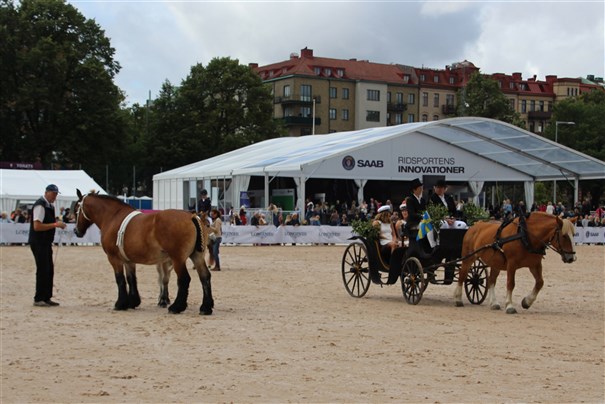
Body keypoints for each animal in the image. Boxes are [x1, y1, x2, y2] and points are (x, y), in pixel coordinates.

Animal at [74, 189, 214, 316]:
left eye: (76, 209)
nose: (76, 231)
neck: (113, 217)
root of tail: (191, 216)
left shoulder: (114, 259)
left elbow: (120, 279)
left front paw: (120, 304)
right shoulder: (128, 261)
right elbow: (131, 279)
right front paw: (132, 302)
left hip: (178, 260)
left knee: (184, 279)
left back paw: (176, 307)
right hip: (197, 256)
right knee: (205, 277)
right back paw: (206, 308)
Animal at [342, 211, 572, 312]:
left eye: (573, 234)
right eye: (564, 235)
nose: (571, 257)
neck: (525, 235)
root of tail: (473, 226)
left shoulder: (534, 264)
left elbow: (539, 283)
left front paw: (526, 302)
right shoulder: (513, 264)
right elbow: (511, 283)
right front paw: (510, 305)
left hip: (489, 261)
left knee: (484, 279)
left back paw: (491, 302)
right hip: (470, 257)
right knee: (461, 275)